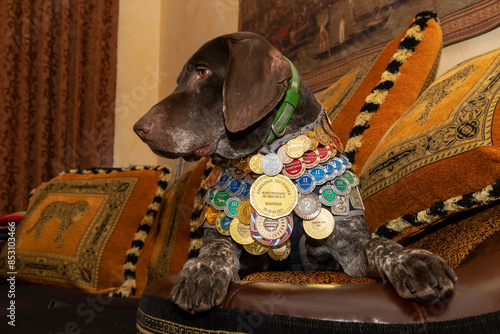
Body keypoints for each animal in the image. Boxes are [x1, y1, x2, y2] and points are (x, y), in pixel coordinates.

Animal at [134, 31, 458, 314]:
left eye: (202, 72)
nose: (139, 128)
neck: (269, 155)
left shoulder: (351, 246)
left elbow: (381, 244)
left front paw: (412, 260)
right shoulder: (227, 240)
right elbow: (214, 252)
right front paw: (202, 271)